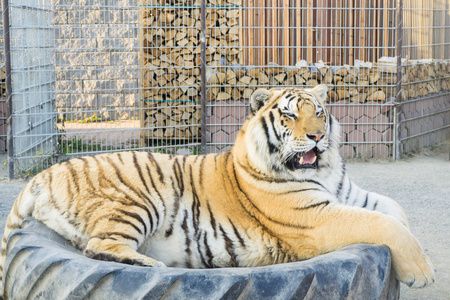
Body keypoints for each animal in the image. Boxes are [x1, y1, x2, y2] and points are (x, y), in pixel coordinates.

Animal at [0, 84, 436, 298]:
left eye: (318, 111)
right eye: (289, 115)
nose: (318, 136)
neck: (325, 169)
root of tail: (42, 175)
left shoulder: (351, 196)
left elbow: (396, 213)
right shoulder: (316, 216)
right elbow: (383, 224)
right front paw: (422, 274)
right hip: (139, 199)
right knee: (99, 246)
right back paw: (153, 266)